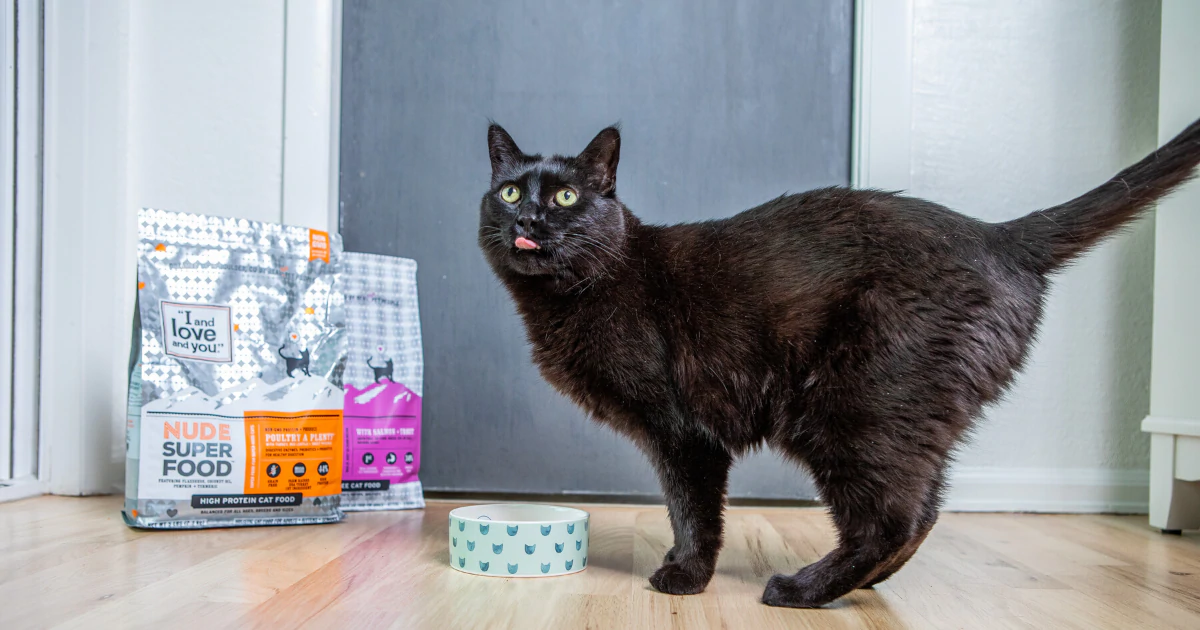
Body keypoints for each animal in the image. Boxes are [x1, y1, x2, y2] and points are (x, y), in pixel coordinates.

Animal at [475, 120, 1200, 607]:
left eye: (566, 198)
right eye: (508, 192)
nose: (530, 216)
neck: (586, 287)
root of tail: (999, 236)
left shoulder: (682, 431)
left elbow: (692, 509)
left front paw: (684, 576)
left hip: (847, 407)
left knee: (889, 519)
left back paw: (804, 589)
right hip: (910, 416)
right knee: (923, 509)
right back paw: (865, 582)